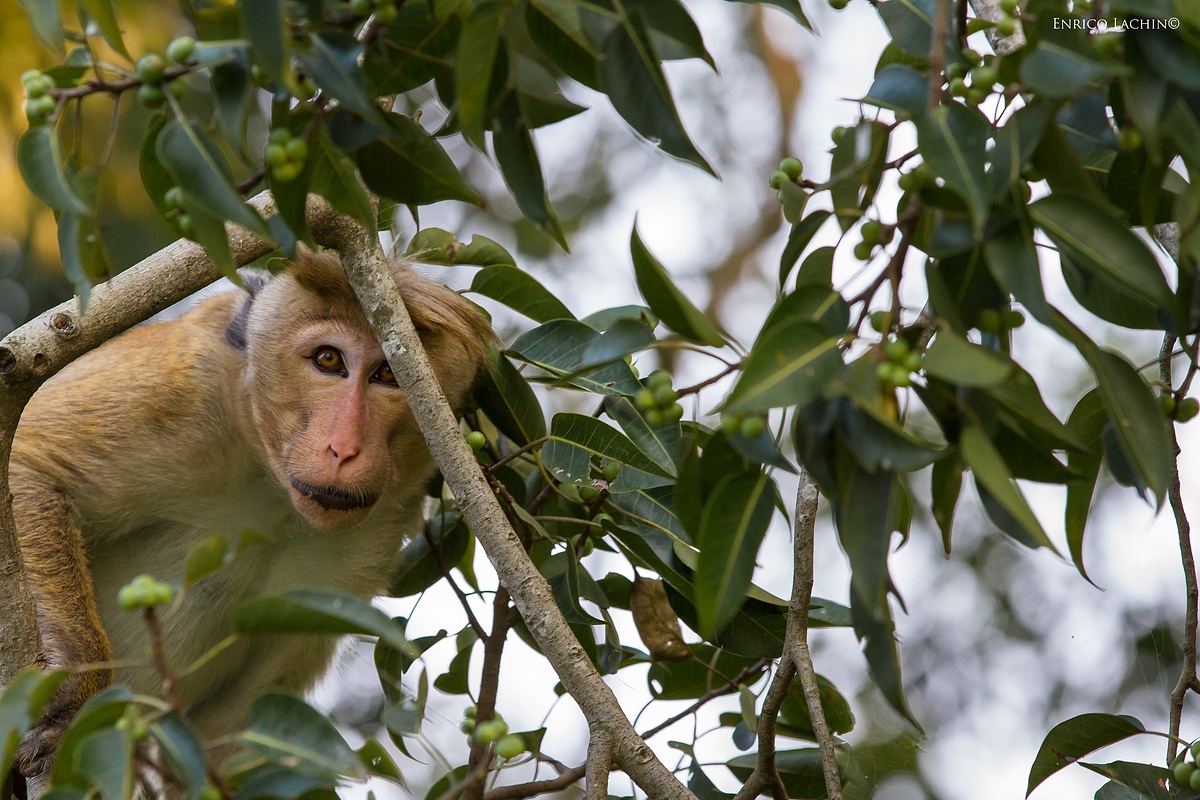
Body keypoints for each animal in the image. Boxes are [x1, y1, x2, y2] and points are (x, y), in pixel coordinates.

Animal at [9, 249, 491, 775]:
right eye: (329, 360)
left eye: (388, 375)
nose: (345, 448)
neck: (270, 478)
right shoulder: (181, 392)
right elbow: (30, 464)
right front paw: (79, 698)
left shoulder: (371, 539)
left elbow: (233, 726)